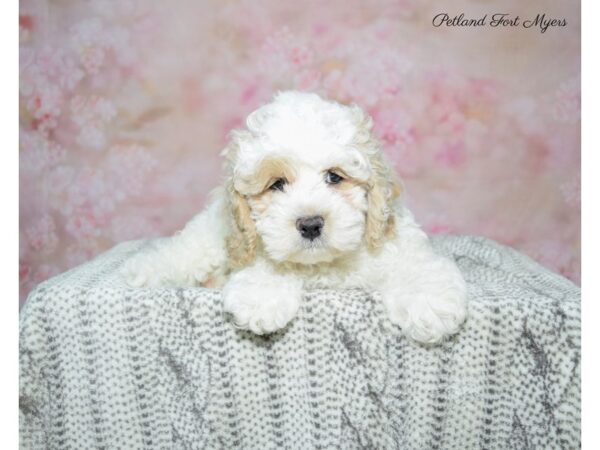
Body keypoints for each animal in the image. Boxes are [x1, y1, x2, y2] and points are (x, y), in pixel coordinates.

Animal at [123, 91, 468, 344]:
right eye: (277, 184)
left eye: (334, 177)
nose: (310, 224)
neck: (324, 267)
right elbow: (273, 262)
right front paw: (261, 296)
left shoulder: (397, 244)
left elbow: (417, 266)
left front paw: (430, 304)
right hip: (211, 234)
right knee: (184, 250)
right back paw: (143, 270)